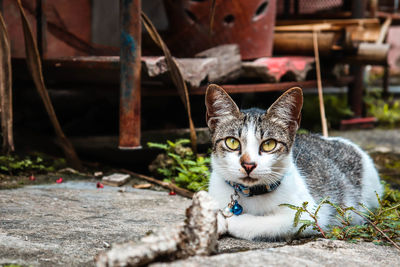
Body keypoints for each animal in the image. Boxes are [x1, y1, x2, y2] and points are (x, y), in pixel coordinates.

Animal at [205, 84, 382, 241]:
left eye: (269, 144)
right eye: (232, 142)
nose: (248, 164)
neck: (249, 193)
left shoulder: (308, 215)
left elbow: (266, 223)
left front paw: (230, 220)